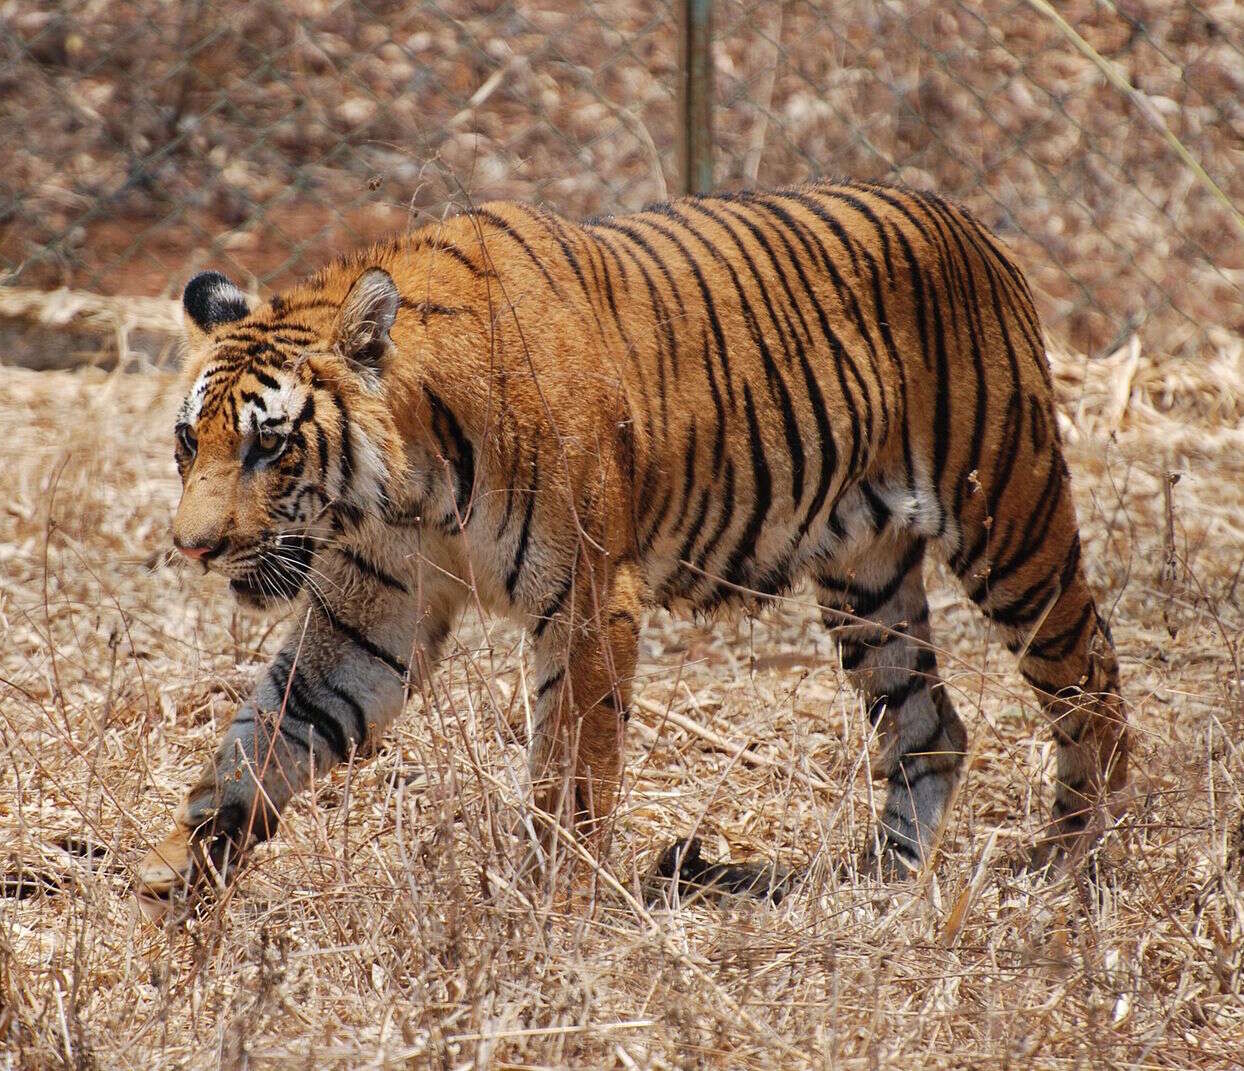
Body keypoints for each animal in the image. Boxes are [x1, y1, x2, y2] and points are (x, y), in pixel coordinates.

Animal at [133, 177, 1129, 910]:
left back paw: (1082, 860)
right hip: (867, 580)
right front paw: (181, 880)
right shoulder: (369, 612)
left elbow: (571, 770)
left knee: (1089, 675)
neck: (406, 488)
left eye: (269, 444)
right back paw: (879, 885)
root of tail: (970, 224)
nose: (193, 548)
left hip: (1011, 522)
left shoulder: (585, 601)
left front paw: (551, 908)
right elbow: (268, 735)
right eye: (189, 440)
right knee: (929, 727)